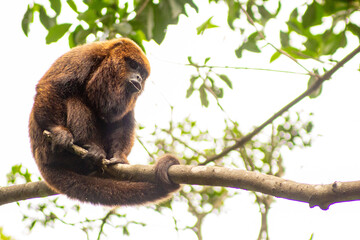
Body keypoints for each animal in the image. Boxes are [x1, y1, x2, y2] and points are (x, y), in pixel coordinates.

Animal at [28, 38, 180, 206]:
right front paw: (59, 131)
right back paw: (87, 145)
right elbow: (52, 85)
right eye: (134, 65)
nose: (139, 78)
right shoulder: (82, 57)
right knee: (74, 99)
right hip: (47, 149)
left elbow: (123, 120)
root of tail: (38, 157)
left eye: (143, 73)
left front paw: (120, 157)